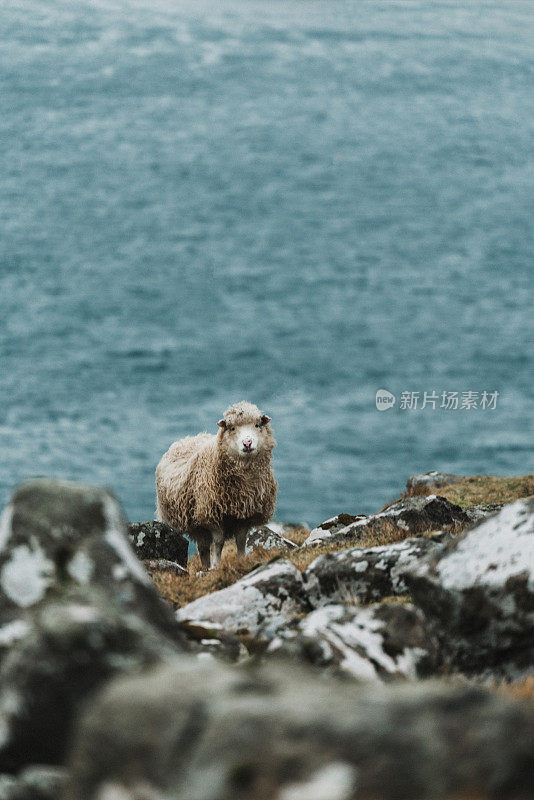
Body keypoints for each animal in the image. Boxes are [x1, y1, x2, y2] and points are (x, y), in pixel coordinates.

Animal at [155, 400, 278, 568]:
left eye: (257, 425)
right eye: (232, 428)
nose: (247, 443)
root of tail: (186, 439)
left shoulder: (244, 515)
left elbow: (241, 541)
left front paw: (241, 559)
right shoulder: (212, 515)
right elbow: (219, 543)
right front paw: (217, 565)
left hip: (198, 525)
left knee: (203, 547)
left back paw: (206, 567)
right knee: (201, 547)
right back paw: (206, 567)